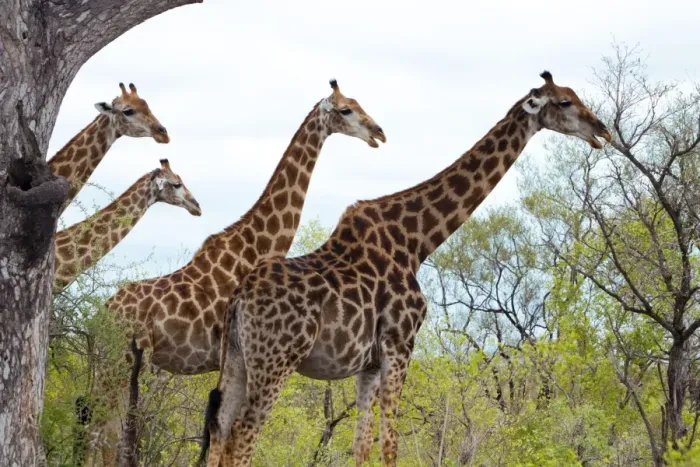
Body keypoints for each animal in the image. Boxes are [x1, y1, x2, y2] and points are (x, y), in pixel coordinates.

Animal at [86, 79, 386, 466]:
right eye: (347, 109)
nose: (378, 132)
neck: (255, 246)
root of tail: (99, 316)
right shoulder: (230, 355)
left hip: (110, 364)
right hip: (119, 365)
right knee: (103, 433)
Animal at [201, 71, 613, 467]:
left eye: (575, 96)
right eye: (564, 102)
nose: (603, 131)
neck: (418, 242)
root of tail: (238, 299)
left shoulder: (368, 364)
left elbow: (361, 445)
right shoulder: (400, 344)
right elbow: (390, 445)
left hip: (236, 359)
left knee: (221, 428)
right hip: (277, 360)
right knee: (243, 435)